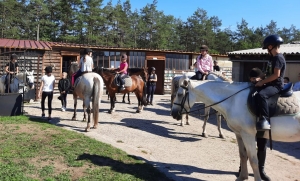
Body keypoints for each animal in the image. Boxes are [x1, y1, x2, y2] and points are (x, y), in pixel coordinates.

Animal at [171, 74, 300, 180]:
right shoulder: (239, 133)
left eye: (180, 94)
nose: (173, 113)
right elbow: (243, 155)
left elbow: (253, 159)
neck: (234, 100)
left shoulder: (248, 135)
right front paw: (242, 177)